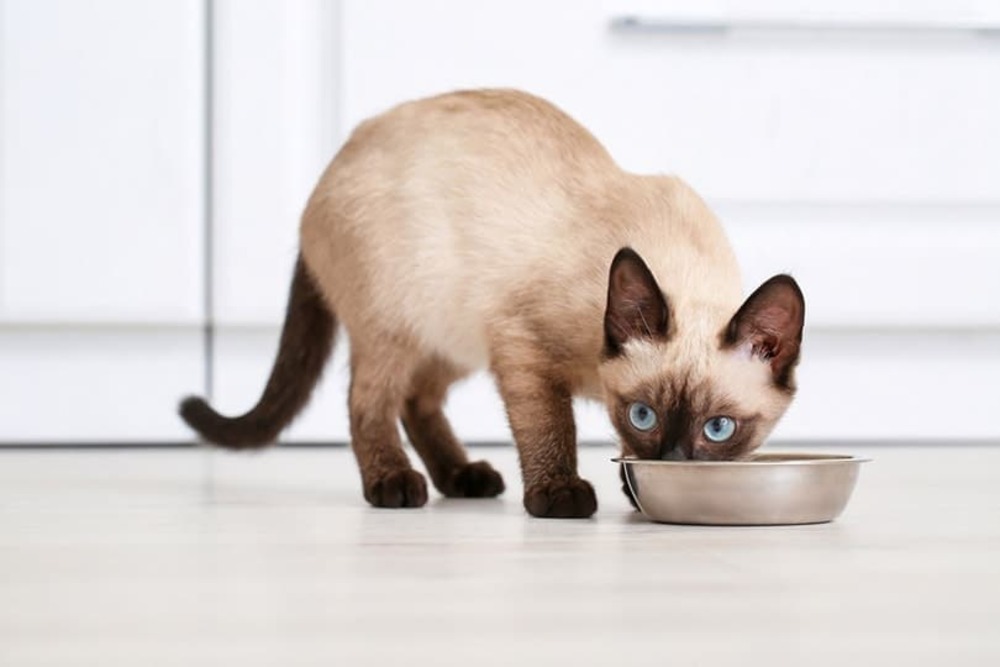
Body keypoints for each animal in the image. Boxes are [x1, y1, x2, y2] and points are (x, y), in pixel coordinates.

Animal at [180, 88, 804, 520]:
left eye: (718, 429)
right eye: (644, 415)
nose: (672, 464)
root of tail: (333, 166)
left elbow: (614, 450)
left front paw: (636, 492)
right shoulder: (523, 350)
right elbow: (549, 429)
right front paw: (560, 495)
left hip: (452, 337)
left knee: (418, 400)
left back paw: (463, 477)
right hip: (398, 323)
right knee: (369, 402)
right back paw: (394, 484)